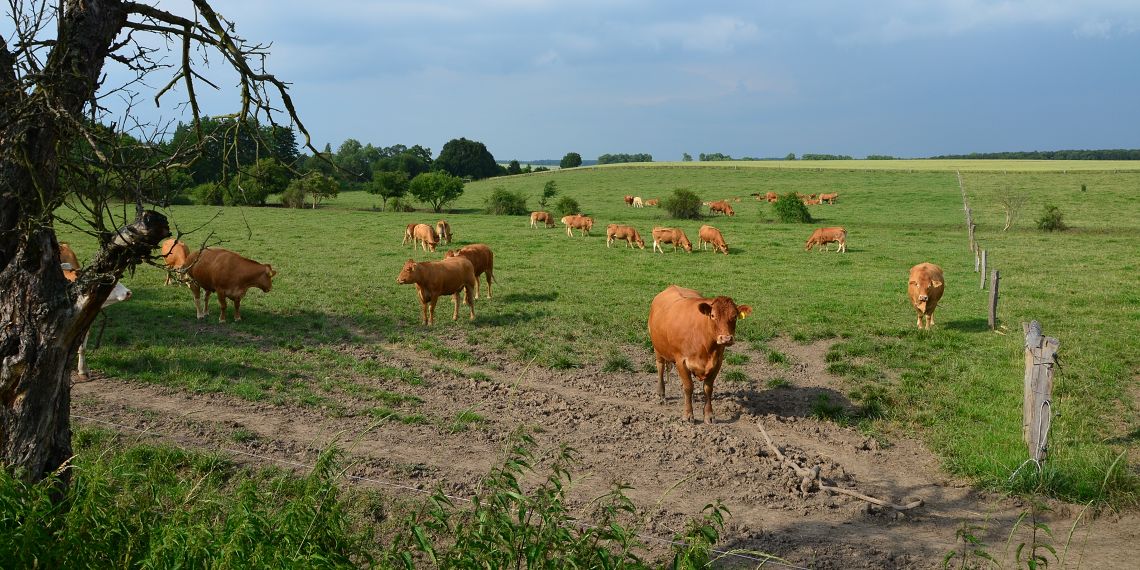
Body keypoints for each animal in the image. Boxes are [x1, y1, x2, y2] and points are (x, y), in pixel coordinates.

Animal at [648, 285, 752, 424]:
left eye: (734, 316)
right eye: (712, 315)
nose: (726, 339)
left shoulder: (717, 362)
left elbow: (708, 388)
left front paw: (709, 415)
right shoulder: (681, 361)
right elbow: (688, 387)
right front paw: (688, 415)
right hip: (657, 348)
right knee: (660, 367)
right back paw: (661, 393)